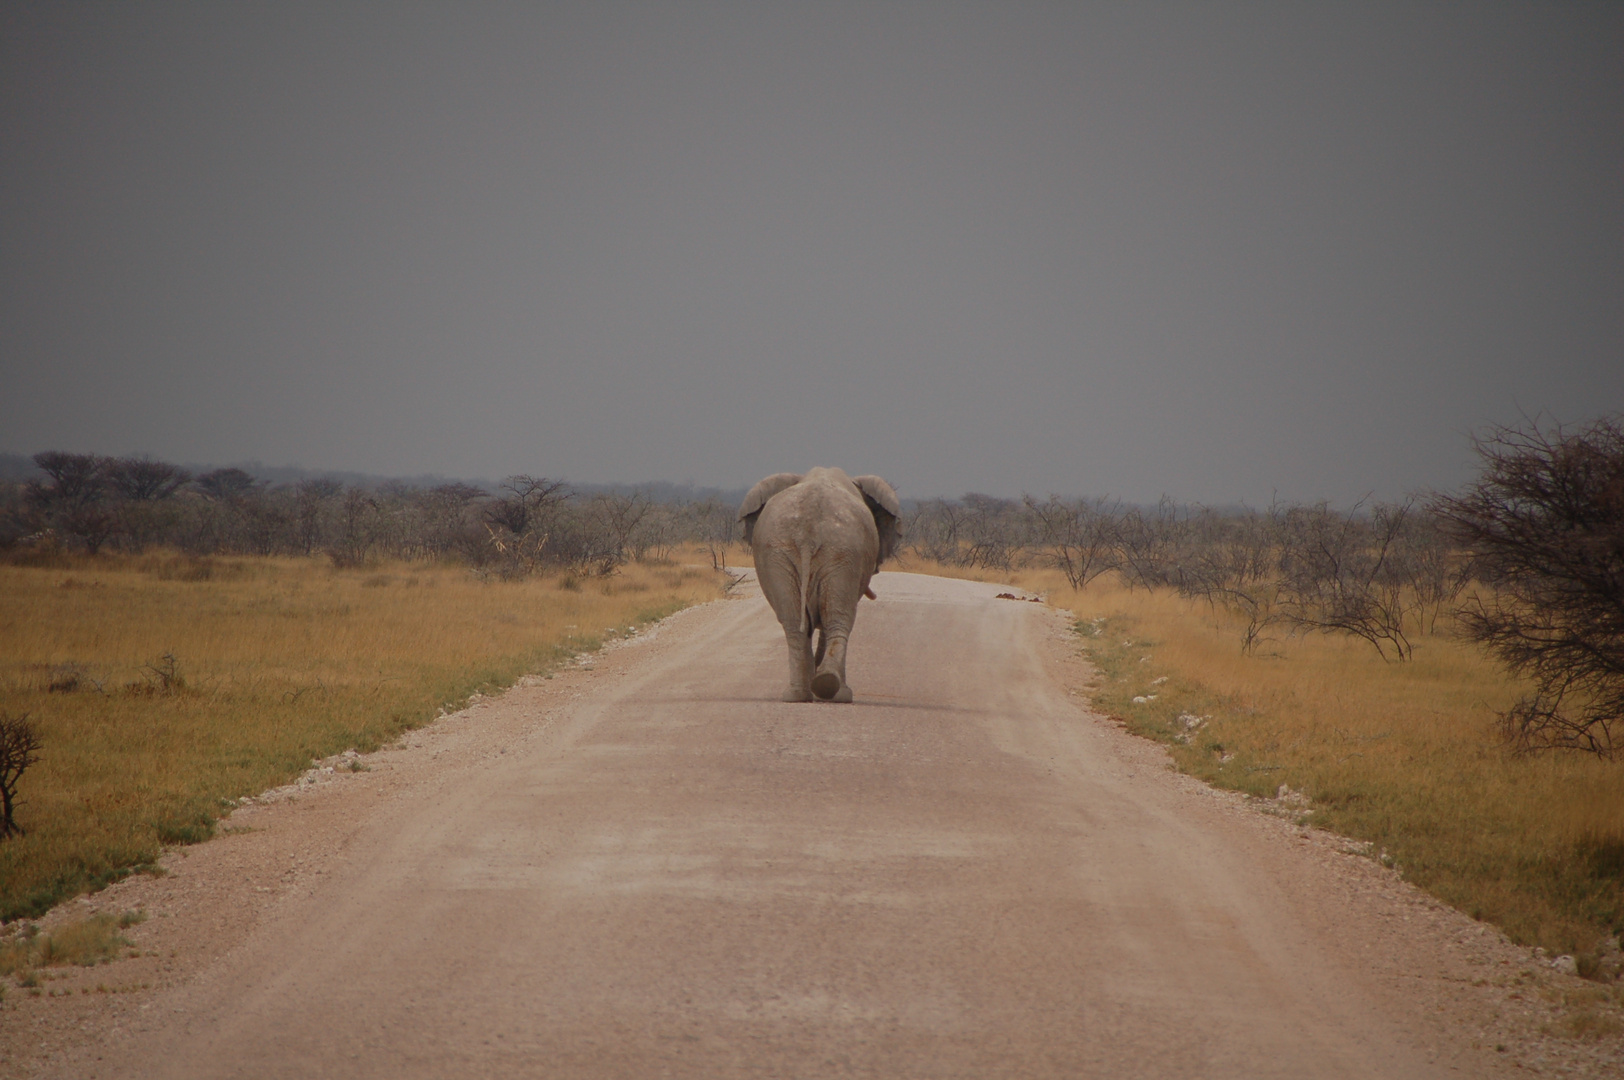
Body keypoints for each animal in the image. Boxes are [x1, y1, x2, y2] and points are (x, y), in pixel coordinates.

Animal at [740, 467, 902, 704]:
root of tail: (807, 533)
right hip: (839, 552)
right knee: (837, 619)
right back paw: (836, 693)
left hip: (788, 552)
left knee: (796, 624)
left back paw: (802, 693)